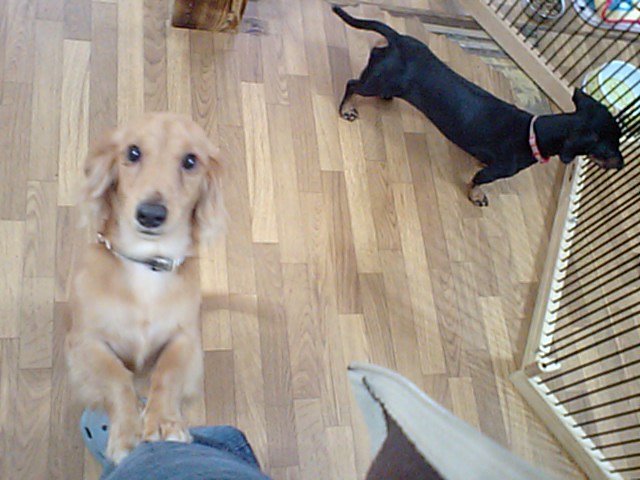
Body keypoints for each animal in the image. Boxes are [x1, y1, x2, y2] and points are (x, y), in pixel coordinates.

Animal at [65, 113, 225, 463]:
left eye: (190, 161)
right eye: (133, 152)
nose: (151, 214)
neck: (146, 263)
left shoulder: (185, 338)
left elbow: (167, 372)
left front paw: (165, 422)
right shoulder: (85, 342)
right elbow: (116, 375)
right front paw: (126, 433)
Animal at [333, 6, 624, 206]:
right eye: (607, 149)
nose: (621, 165)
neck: (535, 132)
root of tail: (397, 40)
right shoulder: (495, 171)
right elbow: (477, 180)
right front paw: (477, 195)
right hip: (375, 83)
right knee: (351, 85)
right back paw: (346, 109)